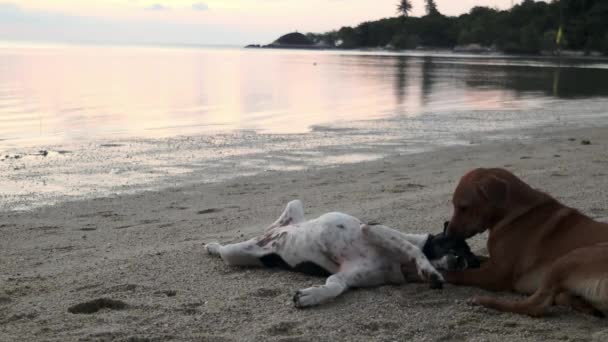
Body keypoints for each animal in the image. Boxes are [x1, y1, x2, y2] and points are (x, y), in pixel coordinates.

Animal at [207, 199, 478, 308]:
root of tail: (269, 234)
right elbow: (412, 248)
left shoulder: (345, 277)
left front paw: (311, 296)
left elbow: (334, 287)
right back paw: (210, 246)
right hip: (236, 251)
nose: (460, 261)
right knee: (227, 246)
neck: (398, 266)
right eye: (452, 247)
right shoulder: (371, 228)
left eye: (471, 261)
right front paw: (428, 270)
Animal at [442, 168, 608, 318]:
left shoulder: (496, 274)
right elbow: (478, 260)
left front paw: (442, 273)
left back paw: (484, 301)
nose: (448, 234)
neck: (513, 212)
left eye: (464, 207)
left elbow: (460, 274)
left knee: (534, 307)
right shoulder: (493, 262)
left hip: (570, 258)